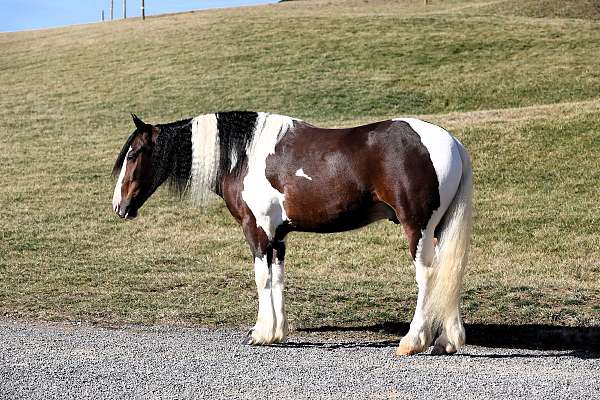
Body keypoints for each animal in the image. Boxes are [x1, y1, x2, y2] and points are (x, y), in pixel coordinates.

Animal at [110, 112, 472, 356]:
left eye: (133, 154)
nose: (119, 206)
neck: (244, 155)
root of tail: (452, 142)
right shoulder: (278, 236)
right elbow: (278, 279)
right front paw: (277, 332)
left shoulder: (256, 231)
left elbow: (261, 279)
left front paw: (260, 333)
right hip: (439, 229)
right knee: (449, 272)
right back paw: (447, 341)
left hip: (418, 228)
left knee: (428, 276)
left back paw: (412, 341)